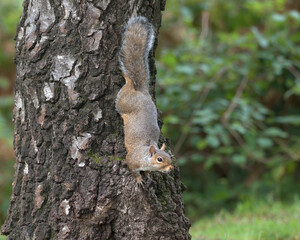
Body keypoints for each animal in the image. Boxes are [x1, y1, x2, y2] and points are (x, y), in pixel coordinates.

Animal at [116, 16, 173, 185]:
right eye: (159, 159)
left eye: (169, 157)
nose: (171, 168)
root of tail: (142, 92)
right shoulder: (131, 159)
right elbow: (132, 169)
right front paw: (139, 179)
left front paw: (147, 176)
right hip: (123, 102)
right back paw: (128, 79)